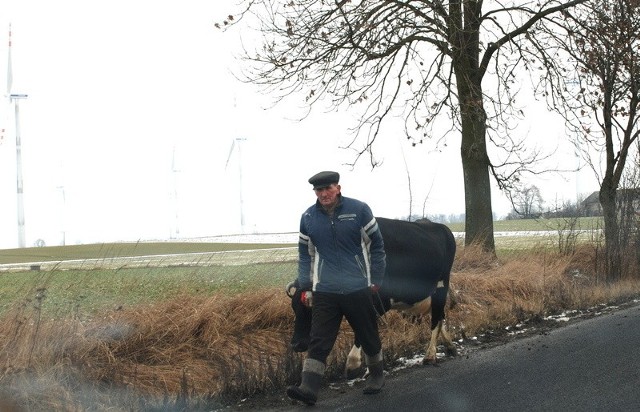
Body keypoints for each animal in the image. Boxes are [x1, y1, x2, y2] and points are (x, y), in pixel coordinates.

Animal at [288, 217, 458, 378]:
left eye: (312, 307)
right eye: (294, 307)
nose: (296, 344)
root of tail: (440, 227)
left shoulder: (378, 302)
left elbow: (363, 330)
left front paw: (353, 365)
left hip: (441, 286)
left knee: (436, 319)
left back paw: (430, 355)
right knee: (440, 316)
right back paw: (450, 346)